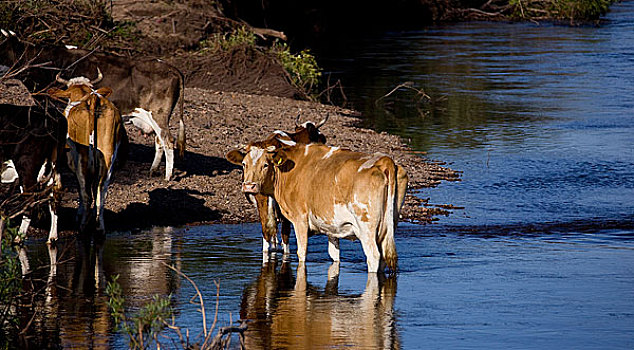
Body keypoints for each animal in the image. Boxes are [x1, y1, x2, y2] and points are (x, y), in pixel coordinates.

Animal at [225, 140, 408, 274]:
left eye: (265, 164)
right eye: (244, 164)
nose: (249, 186)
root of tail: (384, 160)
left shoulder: (300, 219)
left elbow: (301, 253)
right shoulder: (332, 226)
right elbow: (334, 255)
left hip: (366, 227)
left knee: (374, 257)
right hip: (388, 227)